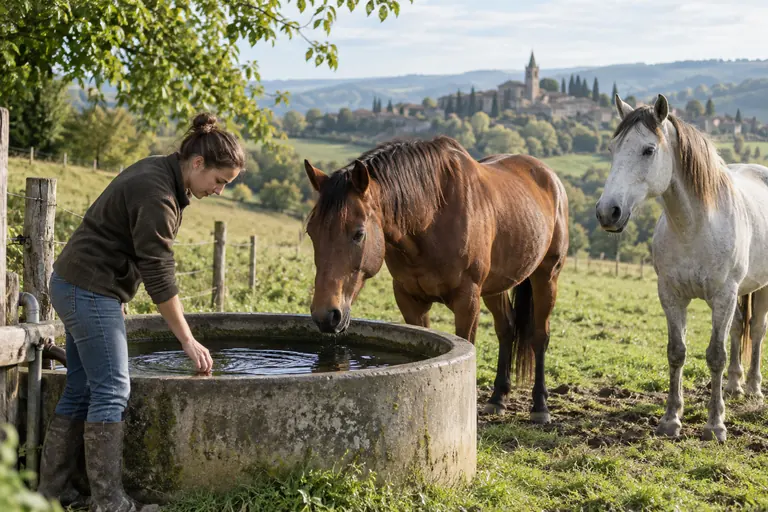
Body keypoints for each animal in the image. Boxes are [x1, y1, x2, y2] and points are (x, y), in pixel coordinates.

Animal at [302, 136, 569, 423]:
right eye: (311, 232)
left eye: (358, 233)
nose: (326, 316)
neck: (431, 217)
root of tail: (550, 177)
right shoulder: (409, 299)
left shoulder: (467, 301)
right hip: (496, 286)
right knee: (506, 330)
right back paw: (498, 398)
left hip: (547, 277)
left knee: (539, 336)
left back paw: (540, 407)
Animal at [596, 93, 768, 442]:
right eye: (612, 148)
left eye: (648, 150)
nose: (608, 212)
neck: (696, 226)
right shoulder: (671, 295)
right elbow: (677, 351)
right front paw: (670, 419)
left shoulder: (723, 296)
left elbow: (715, 355)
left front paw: (715, 425)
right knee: (739, 328)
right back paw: (734, 385)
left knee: (756, 331)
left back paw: (754, 388)